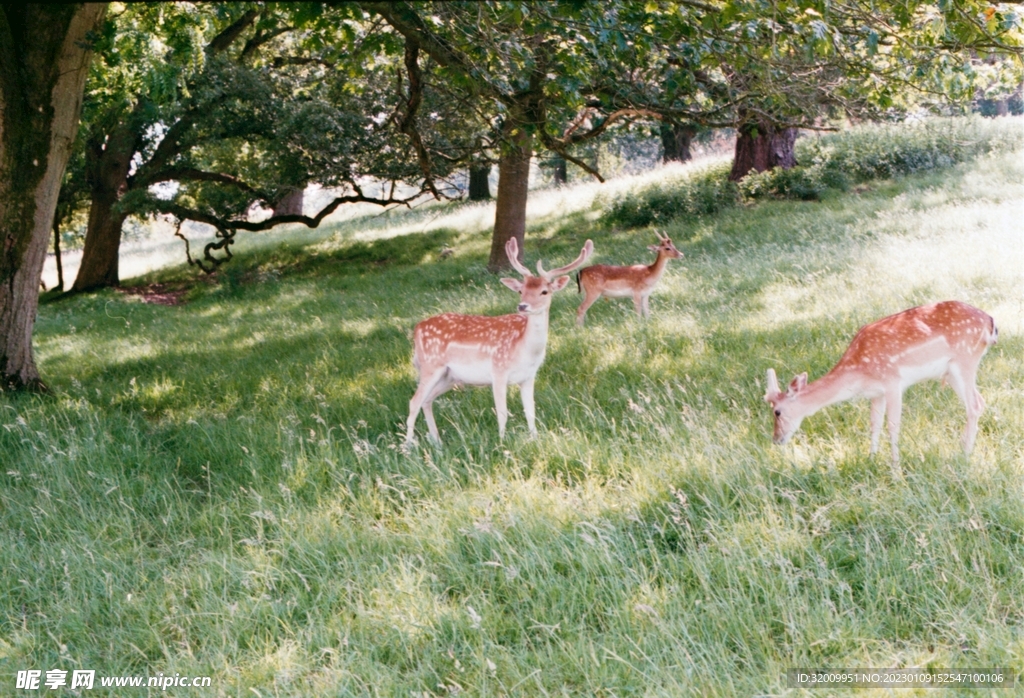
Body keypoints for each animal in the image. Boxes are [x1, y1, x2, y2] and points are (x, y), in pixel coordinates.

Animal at [406, 237, 594, 445]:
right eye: (521, 290)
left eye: (544, 291)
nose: (522, 306)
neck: (524, 350)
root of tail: (417, 328)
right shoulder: (498, 371)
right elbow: (502, 413)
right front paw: (502, 443)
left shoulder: (529, 377)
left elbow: (530, 411)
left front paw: (535, 439)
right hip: (430, 365)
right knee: (414, 401)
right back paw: (408, 446)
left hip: (449, 376)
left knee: (427, 400)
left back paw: (437, 442)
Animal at [763, 300, 998, 469]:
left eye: (777, 412)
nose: (775, 439)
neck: (858, 372)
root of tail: (990, 322)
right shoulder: (876, 393)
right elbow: (874, 424)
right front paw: (871, 459)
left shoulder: (893, 381)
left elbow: (893, 426)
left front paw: (896, 470)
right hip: (950, 373)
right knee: (980, 402)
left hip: (965, 359)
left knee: (974, 405)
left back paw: (964, 456)